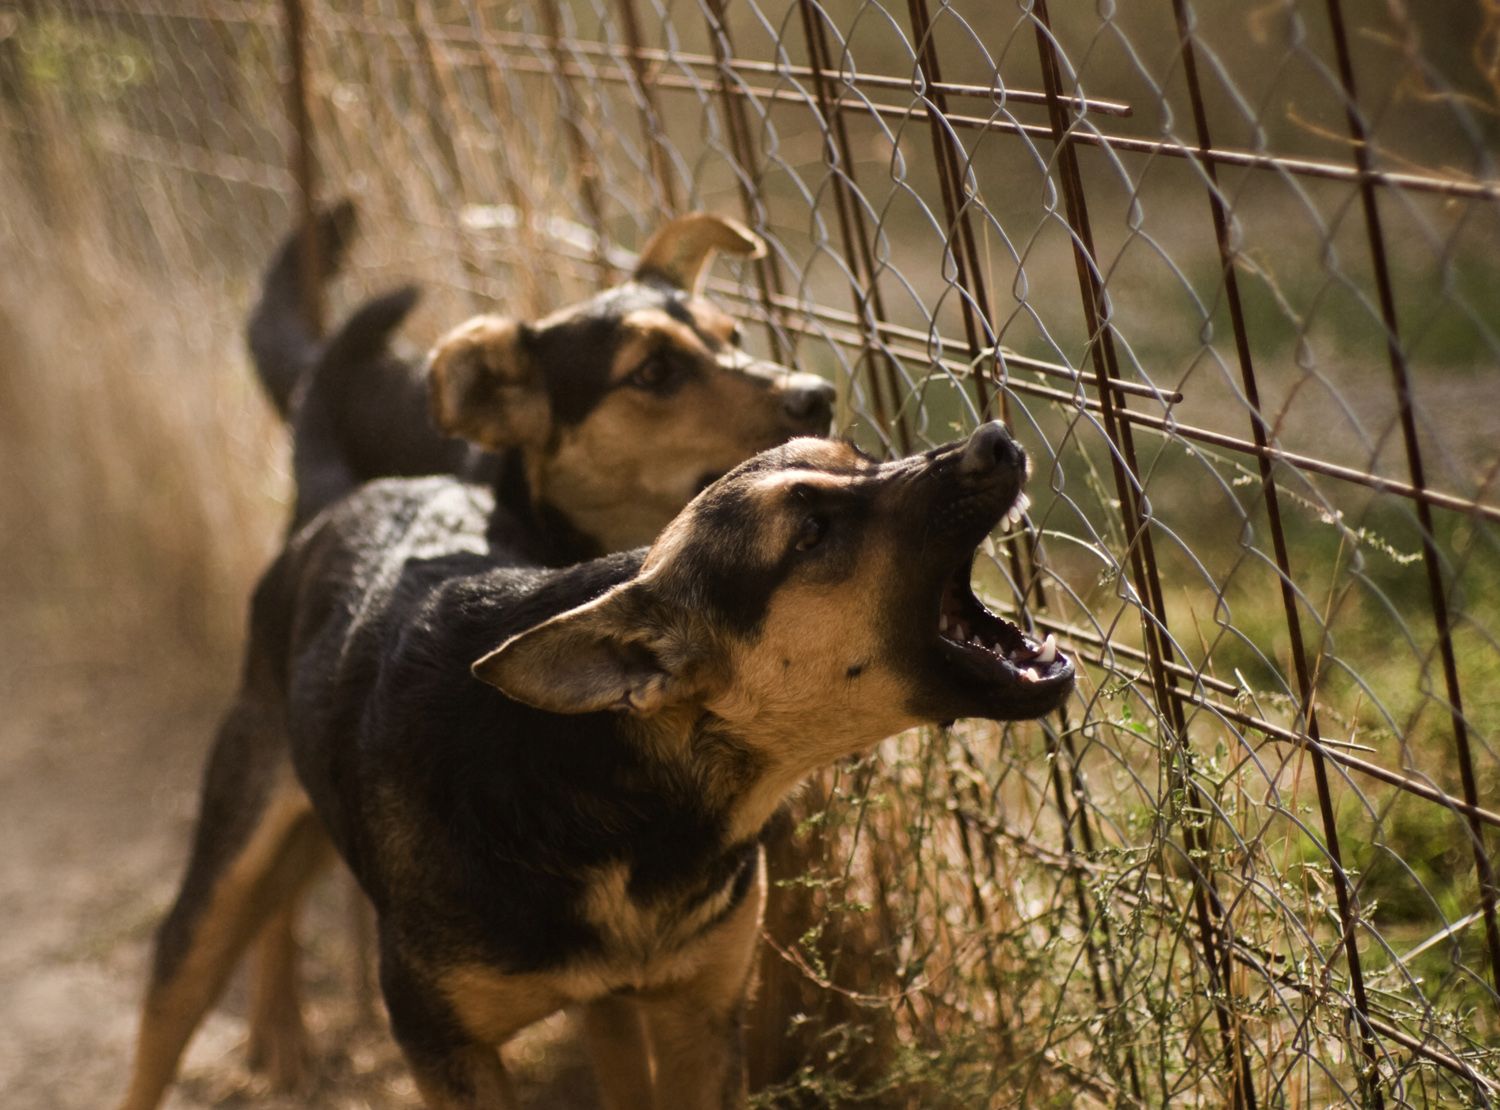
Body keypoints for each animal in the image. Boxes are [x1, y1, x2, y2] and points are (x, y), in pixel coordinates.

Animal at [123, 417, 1074, 1110]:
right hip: (220, 870)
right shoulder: (443, 1048)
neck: (617, 784)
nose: (997, 439)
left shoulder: (699, 1016)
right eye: (810, 531)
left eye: (862, 459)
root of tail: (349, 496)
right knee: (175, 997)